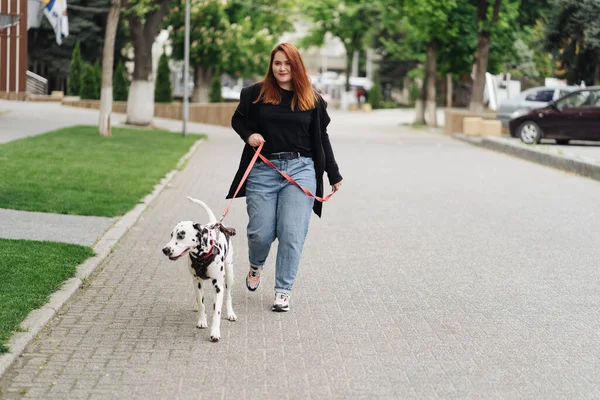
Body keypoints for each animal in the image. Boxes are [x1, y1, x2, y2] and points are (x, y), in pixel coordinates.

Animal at [162, 196, 237, 340]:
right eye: (171, 235)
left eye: (181, 235)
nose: (165, 250)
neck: (202, 256)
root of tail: (216, 223)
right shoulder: (196, 281)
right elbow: (201, 303)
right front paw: (202, 320)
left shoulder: (218, 285)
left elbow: (217, 311)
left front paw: (215, 332)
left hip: (229, 274)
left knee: (229, 295)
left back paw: (230, 313)